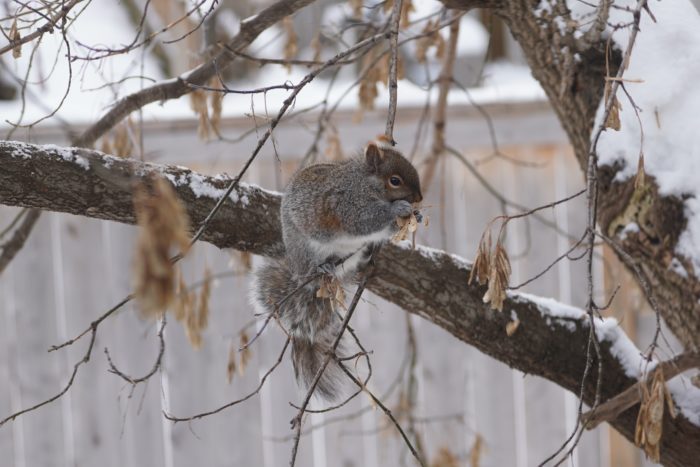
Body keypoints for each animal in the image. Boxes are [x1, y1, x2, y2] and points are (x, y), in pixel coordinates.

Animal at [252, 141, 422, 400]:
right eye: (395, 180)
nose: (420, 198)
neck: (363, 183)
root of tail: (300, 271)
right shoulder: (348, 207)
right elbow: (365, 222)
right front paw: (398, 210)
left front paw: (417, 215)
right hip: (308, 251)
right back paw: (323, 266)